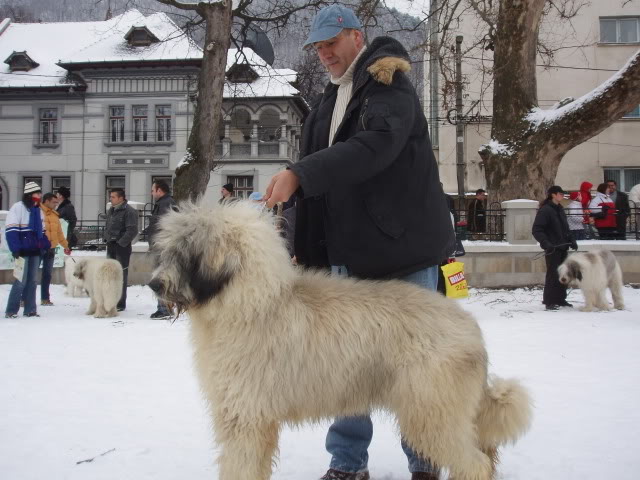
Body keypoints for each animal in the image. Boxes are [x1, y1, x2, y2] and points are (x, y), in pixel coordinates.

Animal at [148, 202, 532, 480]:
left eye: (185, 253)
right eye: (168, 251)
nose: (154, 284)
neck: (254, 301)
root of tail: (471, 328)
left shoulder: (247, 415)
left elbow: (240, 465)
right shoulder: (250, 417)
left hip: (432, 410)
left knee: (474, 463)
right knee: (485, 454)